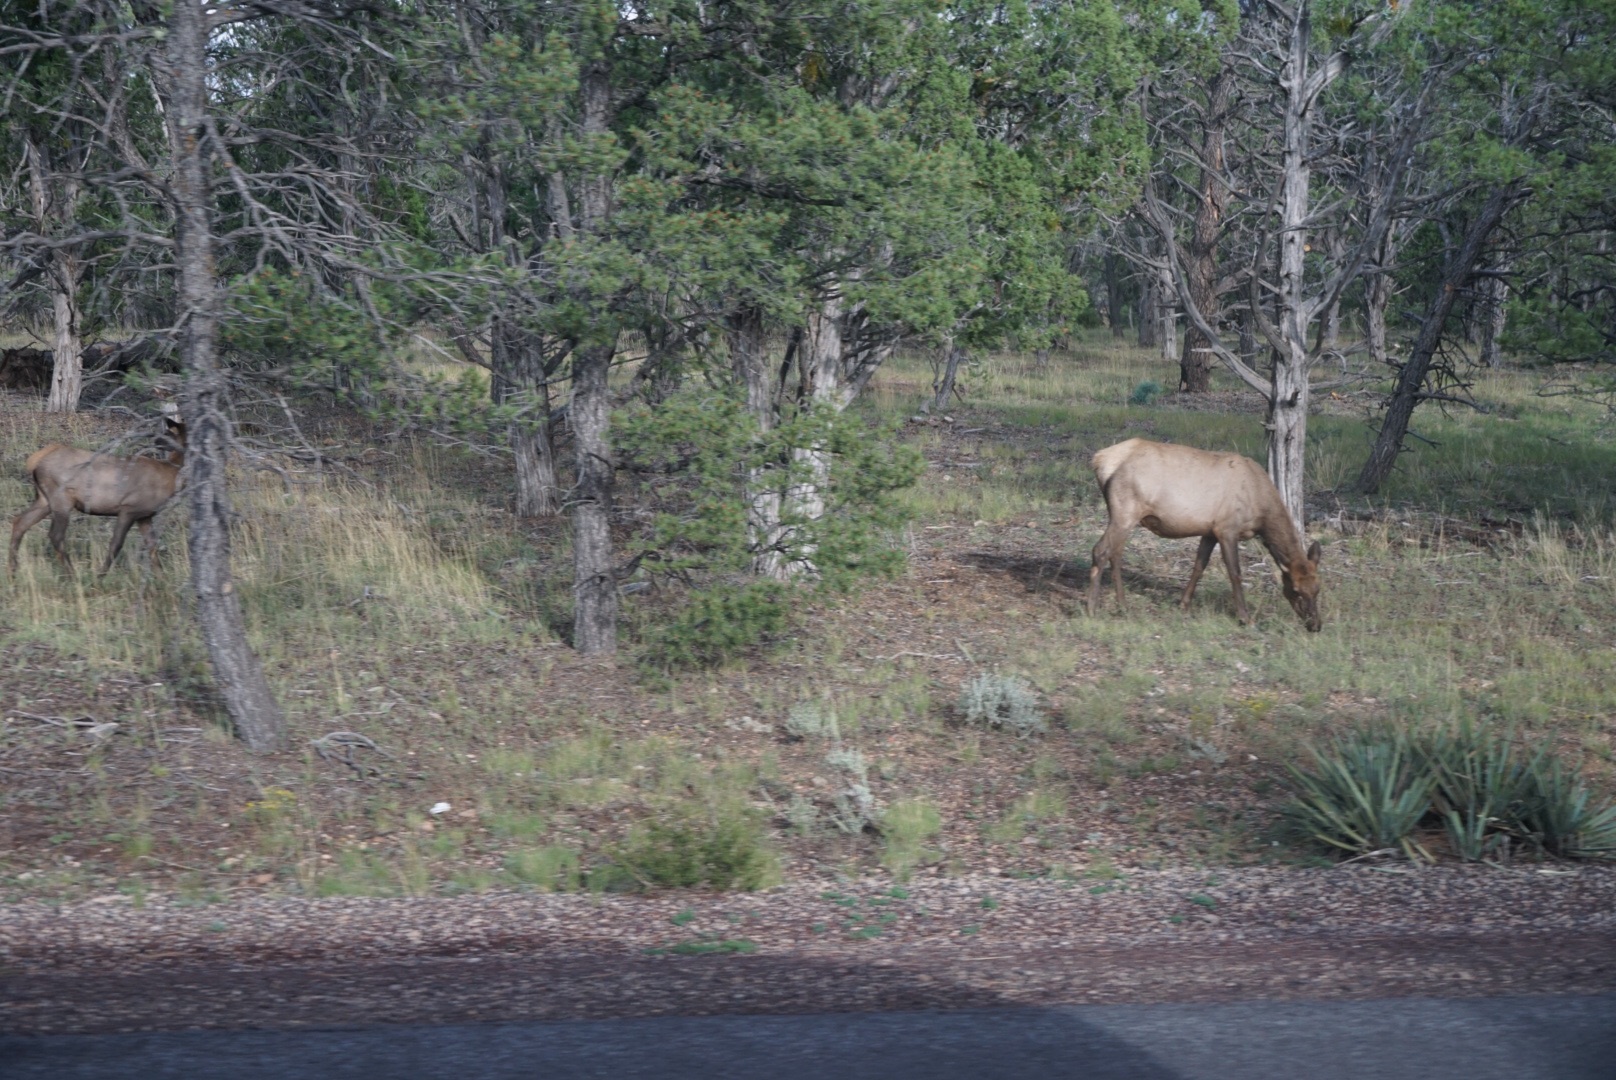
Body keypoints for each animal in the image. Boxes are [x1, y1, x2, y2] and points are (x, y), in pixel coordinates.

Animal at [8, 407, 185, 578]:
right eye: (167, 434)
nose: (156, 440)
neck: (170, 475)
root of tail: (33, 460)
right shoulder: (129, 508)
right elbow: (116, 544)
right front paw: (99, 577)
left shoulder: (145, 516)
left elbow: (152, 546)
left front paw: (162, 580)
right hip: (61, 498)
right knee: (55, 535)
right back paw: (72, 575)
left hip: (44, 499)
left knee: (19, 522)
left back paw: (13, 571)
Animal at [1085, 433, 1325, 627]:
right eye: (1295, 589)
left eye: (1317, 588)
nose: (1315, 624)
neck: (1261, 512)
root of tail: (1100, 460)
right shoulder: (1227, 528)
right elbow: (1235, 573)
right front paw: (1245, 617)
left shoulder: (1210, 530)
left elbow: (1199, 565)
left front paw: (1184, 604)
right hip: (1125, 510)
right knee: (1100, 550)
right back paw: (1093, 608)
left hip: (1123, 515)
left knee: (1115, 553)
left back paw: (1122, 605)